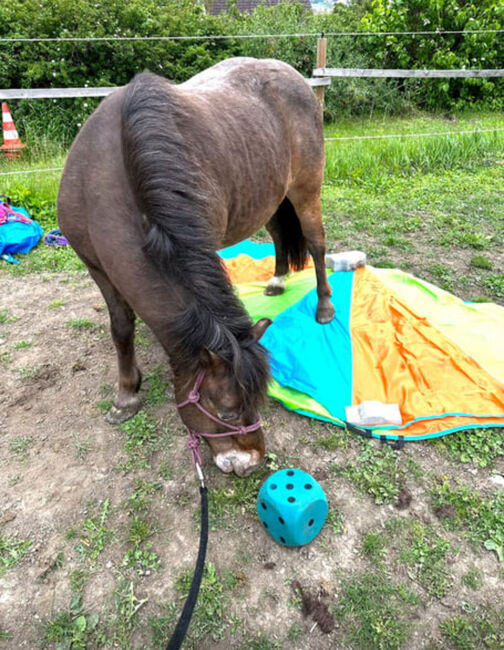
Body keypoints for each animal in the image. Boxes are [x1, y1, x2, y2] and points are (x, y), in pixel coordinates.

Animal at [58, 57, 334, 476]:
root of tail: (291, 74)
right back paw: (277, 279)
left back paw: (324, 308)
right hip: (270, 196)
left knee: (317, 245)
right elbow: (121, 328)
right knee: (278, 233)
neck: (104, 179)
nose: (252, 463)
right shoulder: (96, 266)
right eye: (227, 411)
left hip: (305, 190)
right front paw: (127, 394)